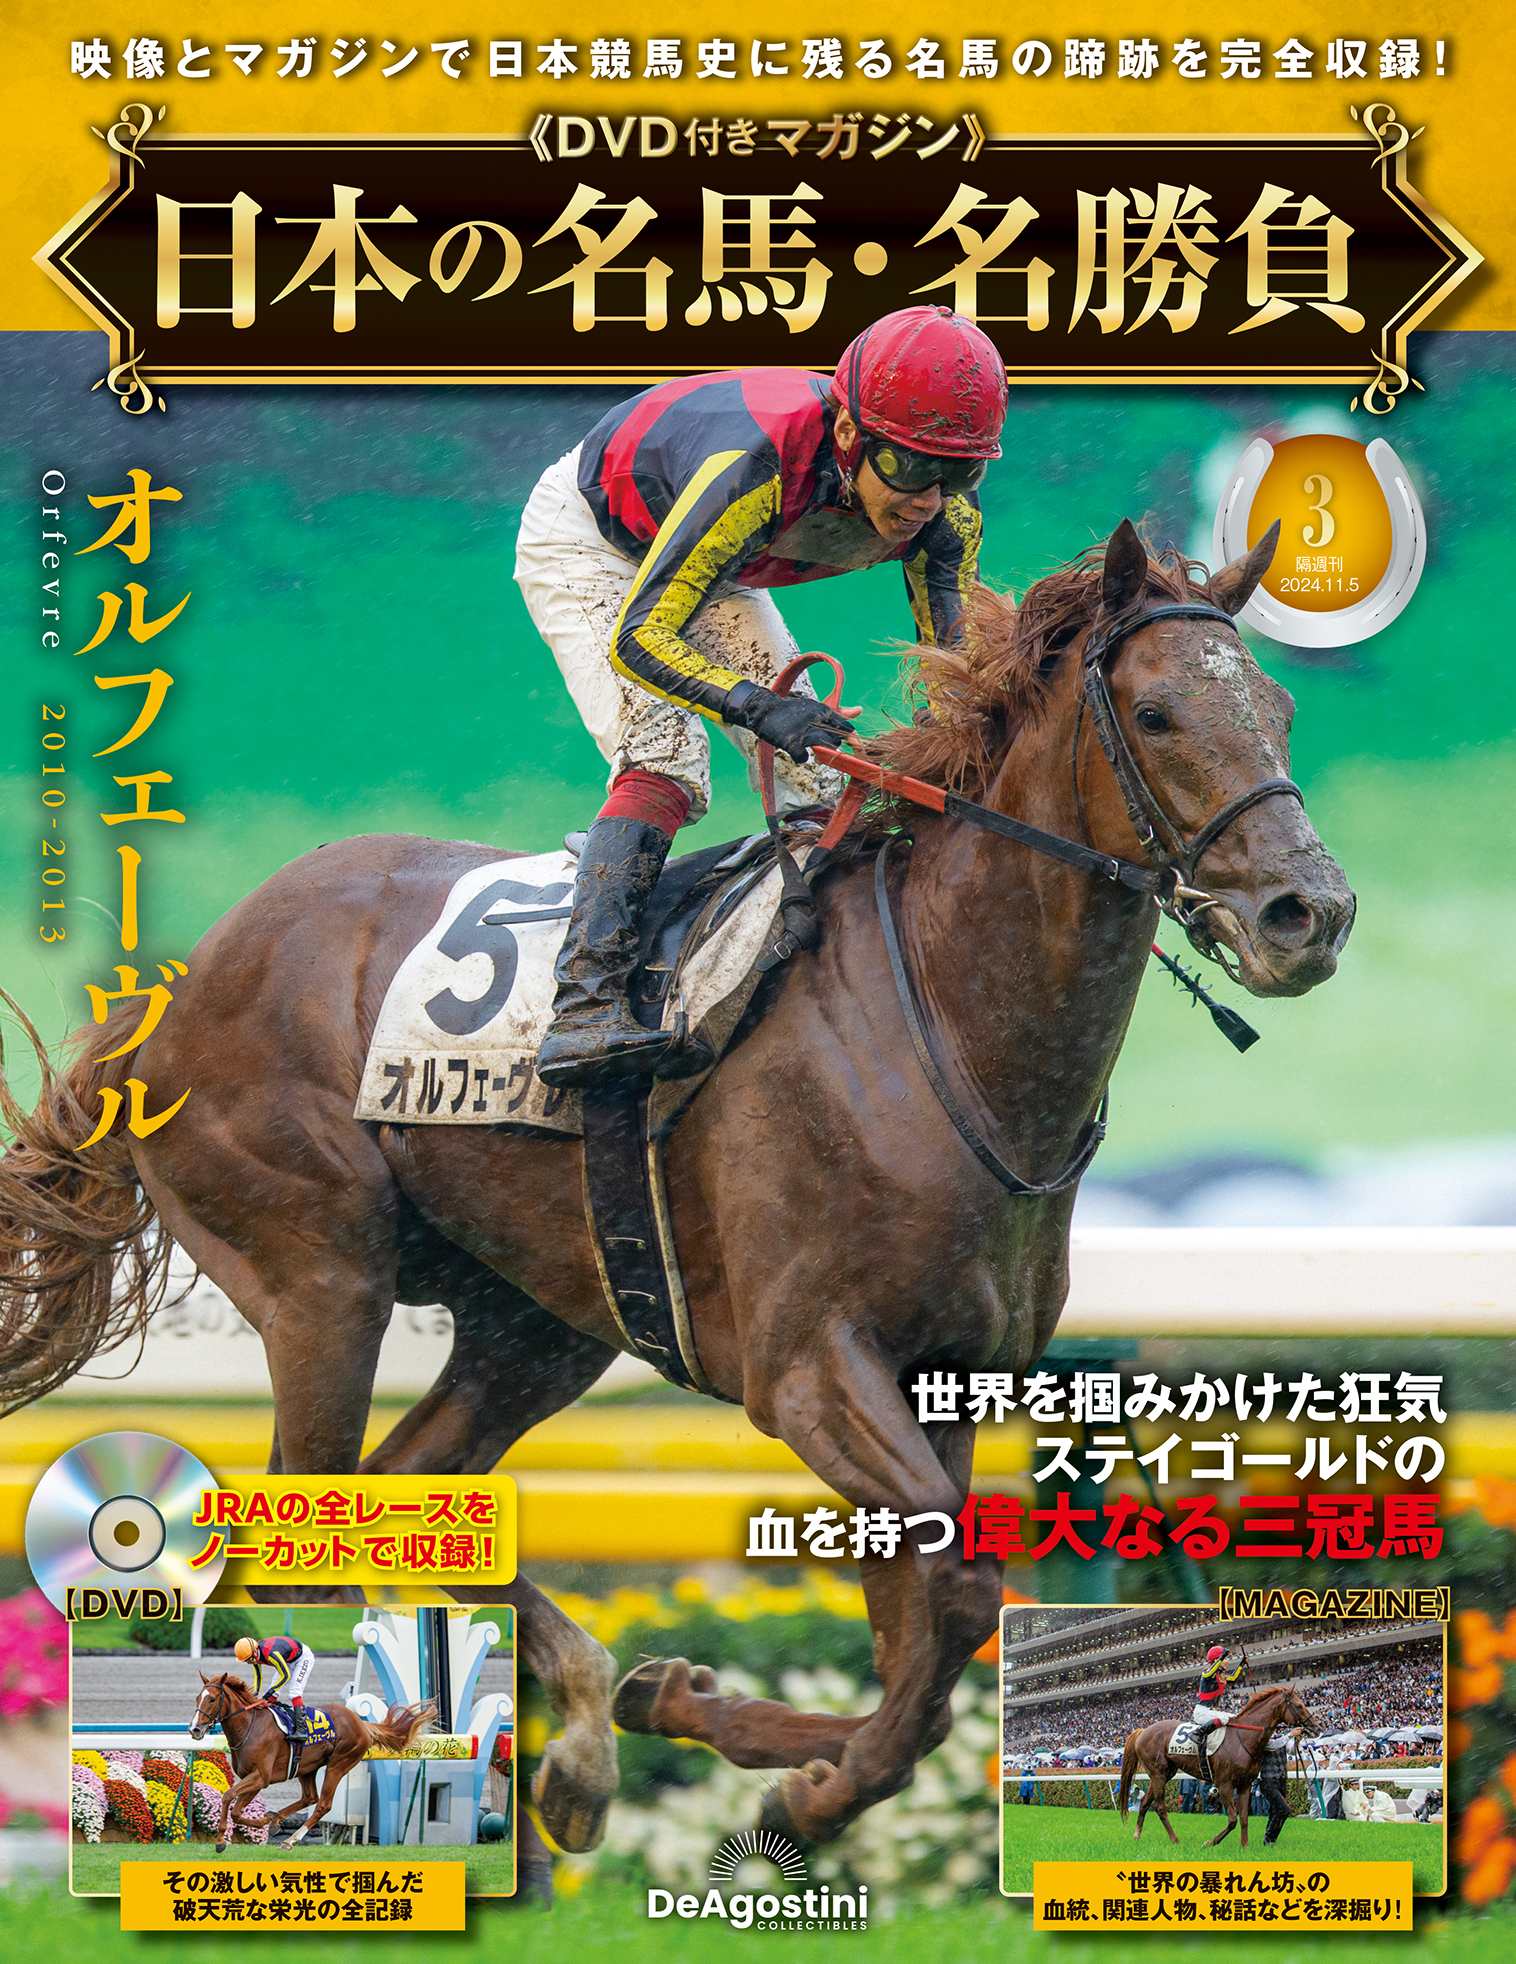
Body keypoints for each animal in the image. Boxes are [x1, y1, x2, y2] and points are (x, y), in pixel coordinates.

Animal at [189, 1671, 435, 1852]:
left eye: (212, 1699)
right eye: (197, 1698)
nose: (194, 1729)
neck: (250, 1726)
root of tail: (361, 1723)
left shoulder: (261, 1776)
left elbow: (229, 1798)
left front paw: (222, 1840)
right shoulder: (255, 1778)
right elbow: (237, 1811)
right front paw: (267, 1822)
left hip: (339, 1763)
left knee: (323, 1804)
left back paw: (291, 1840)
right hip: (306, 1767)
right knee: (310, 1797)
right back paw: (278, 1819)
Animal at [1118, 1686, 1321, 1850]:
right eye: (1299, 1705)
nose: (1317, 1727)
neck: (1244, 1737)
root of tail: (1143, 1731)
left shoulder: (1245, 1784)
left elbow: (1244, 1818)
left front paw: (1245, 1847)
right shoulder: (1224, 1785)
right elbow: (1232, 1820)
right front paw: (1211, 1842)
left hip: (1165, 1773)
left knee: (1145, 1803)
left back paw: (1137, 1835)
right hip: (1158, 1773)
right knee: (1159, 1807)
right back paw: (1175, 1840)